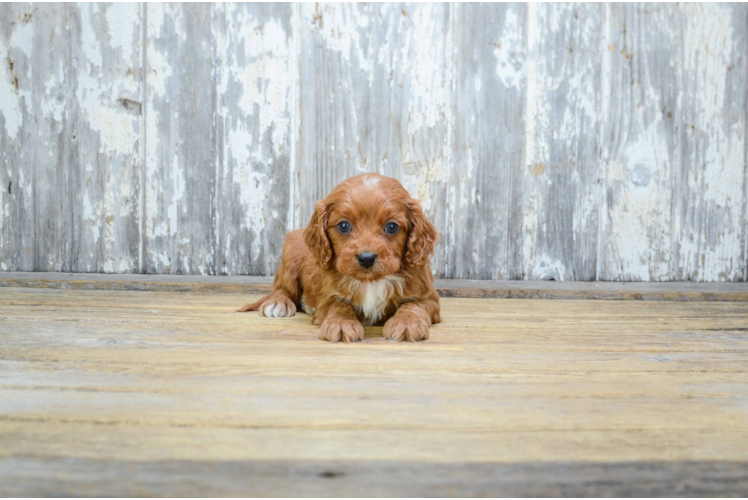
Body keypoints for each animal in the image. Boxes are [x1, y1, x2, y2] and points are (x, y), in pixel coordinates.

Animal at [238, 174, 438, 342]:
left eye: (391, 227)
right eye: (343, 225)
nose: (366, 258)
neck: (370, 281)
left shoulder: (429, 297)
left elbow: (414, 305)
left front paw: (407, 322)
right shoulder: (326, 296)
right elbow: (338, 306)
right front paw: (341, 324)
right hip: (289, 261)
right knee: (283, 289)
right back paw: (278, 303)